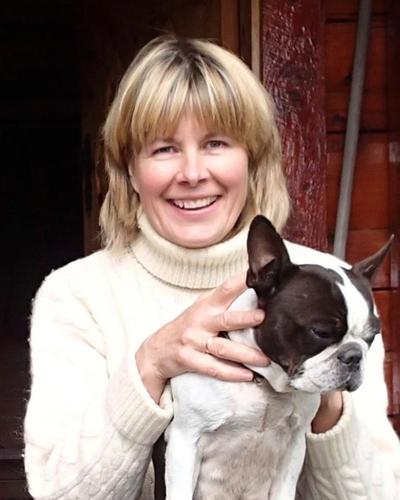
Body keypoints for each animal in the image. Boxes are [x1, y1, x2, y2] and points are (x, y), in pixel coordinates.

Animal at [154, 214, 393, 500]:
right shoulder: (184, 440)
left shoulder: (294, 446)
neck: (263, 383)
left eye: (372, 335)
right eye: (320, 332)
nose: (354, 356)